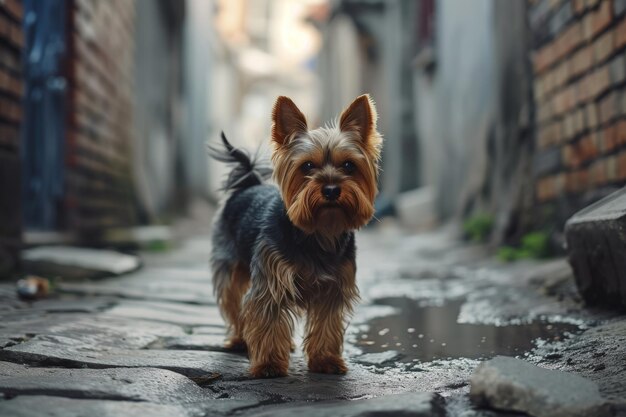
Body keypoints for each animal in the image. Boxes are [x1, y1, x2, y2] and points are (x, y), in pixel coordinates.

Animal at [210, 94, 380, 376]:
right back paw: (240, 340)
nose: (331, 189)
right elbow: (267, 320)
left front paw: (325, 360)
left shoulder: (332, 288)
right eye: (307, 166)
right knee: (235, 302)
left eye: (349, 165)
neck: (319, 233)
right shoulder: (270, 282)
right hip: (230, 265)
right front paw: (268, 364)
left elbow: (326, 324)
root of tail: (249, 183)